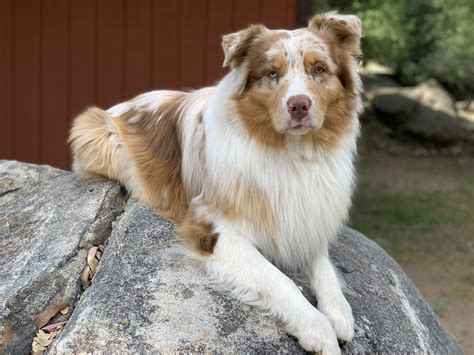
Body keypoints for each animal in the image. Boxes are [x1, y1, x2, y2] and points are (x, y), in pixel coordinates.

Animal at [68, 12, 362, 354]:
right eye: (271, 73)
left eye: (319, 69)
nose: (299, 105)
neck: (291, 153)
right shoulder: (215, 230)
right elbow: (281, 281)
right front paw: (318, 330)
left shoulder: (308, 219)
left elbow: (325, 269)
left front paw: (339, 313)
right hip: (94, 132)